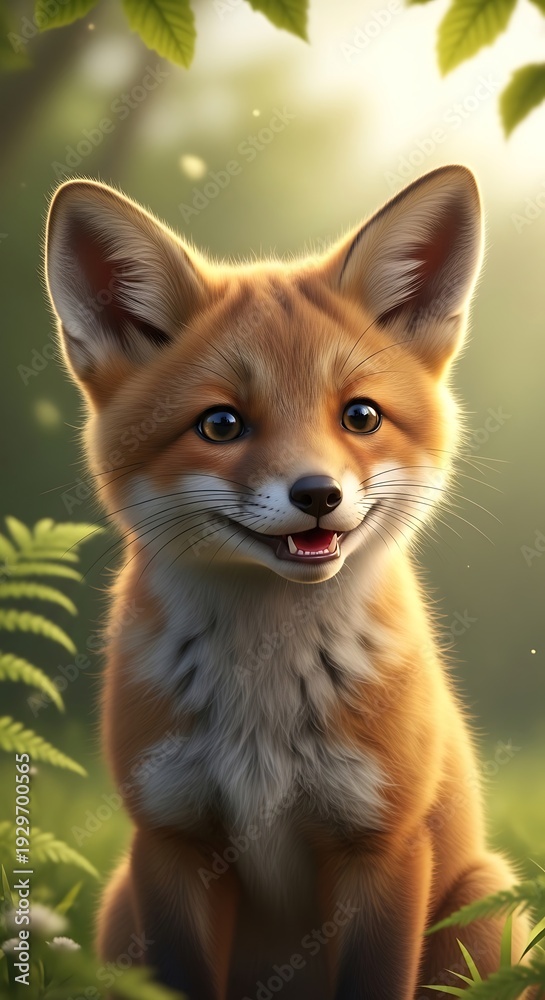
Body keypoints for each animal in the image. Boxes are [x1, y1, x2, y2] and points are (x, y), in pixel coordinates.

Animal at [44, 165, 528, 999]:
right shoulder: (170, 840)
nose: (317, 494)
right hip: (119, 907)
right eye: (220, 425)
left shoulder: (381, 844)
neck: (263, 706)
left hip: (484, 907)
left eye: (360, 416)